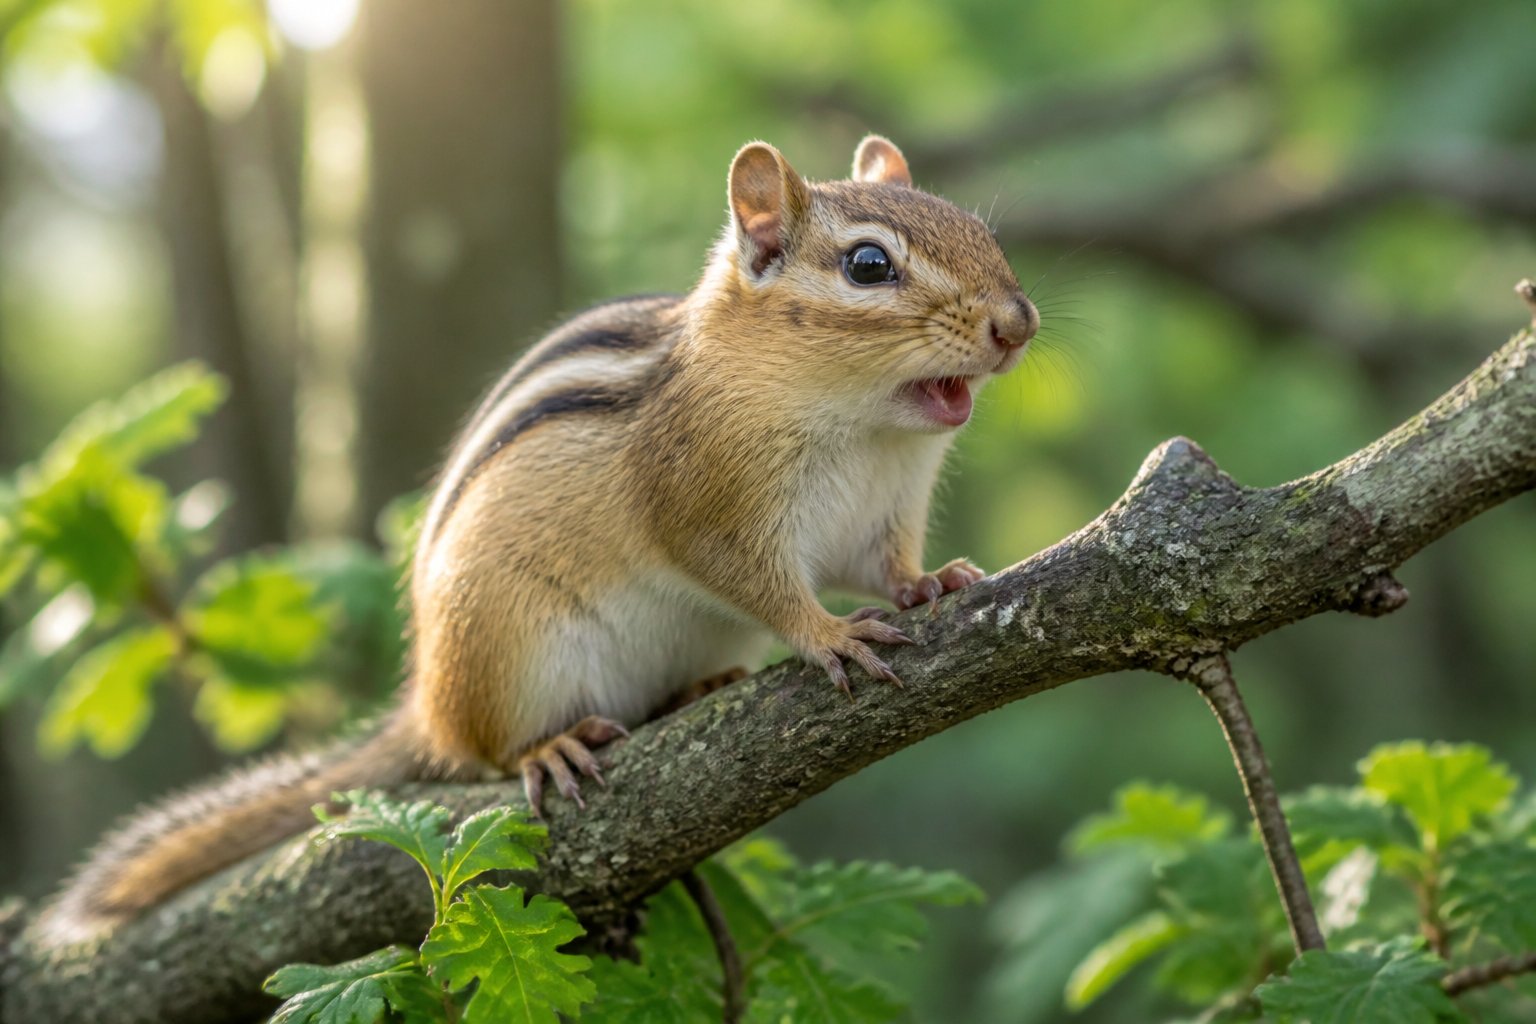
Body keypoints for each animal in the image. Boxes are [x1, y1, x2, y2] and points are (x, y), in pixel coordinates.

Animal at [42, 135, 1038, 941]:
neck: (863, 430)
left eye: (979, 232)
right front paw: (827, 633)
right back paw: (545, 749)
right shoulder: (706, 496)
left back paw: (697, 687)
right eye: (869, 265)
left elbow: (882, 566)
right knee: (485, 750)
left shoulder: (883, 512)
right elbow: (754, 579)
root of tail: (426, 702)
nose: (1018, 322)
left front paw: (929, 583)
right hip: (508, 649)